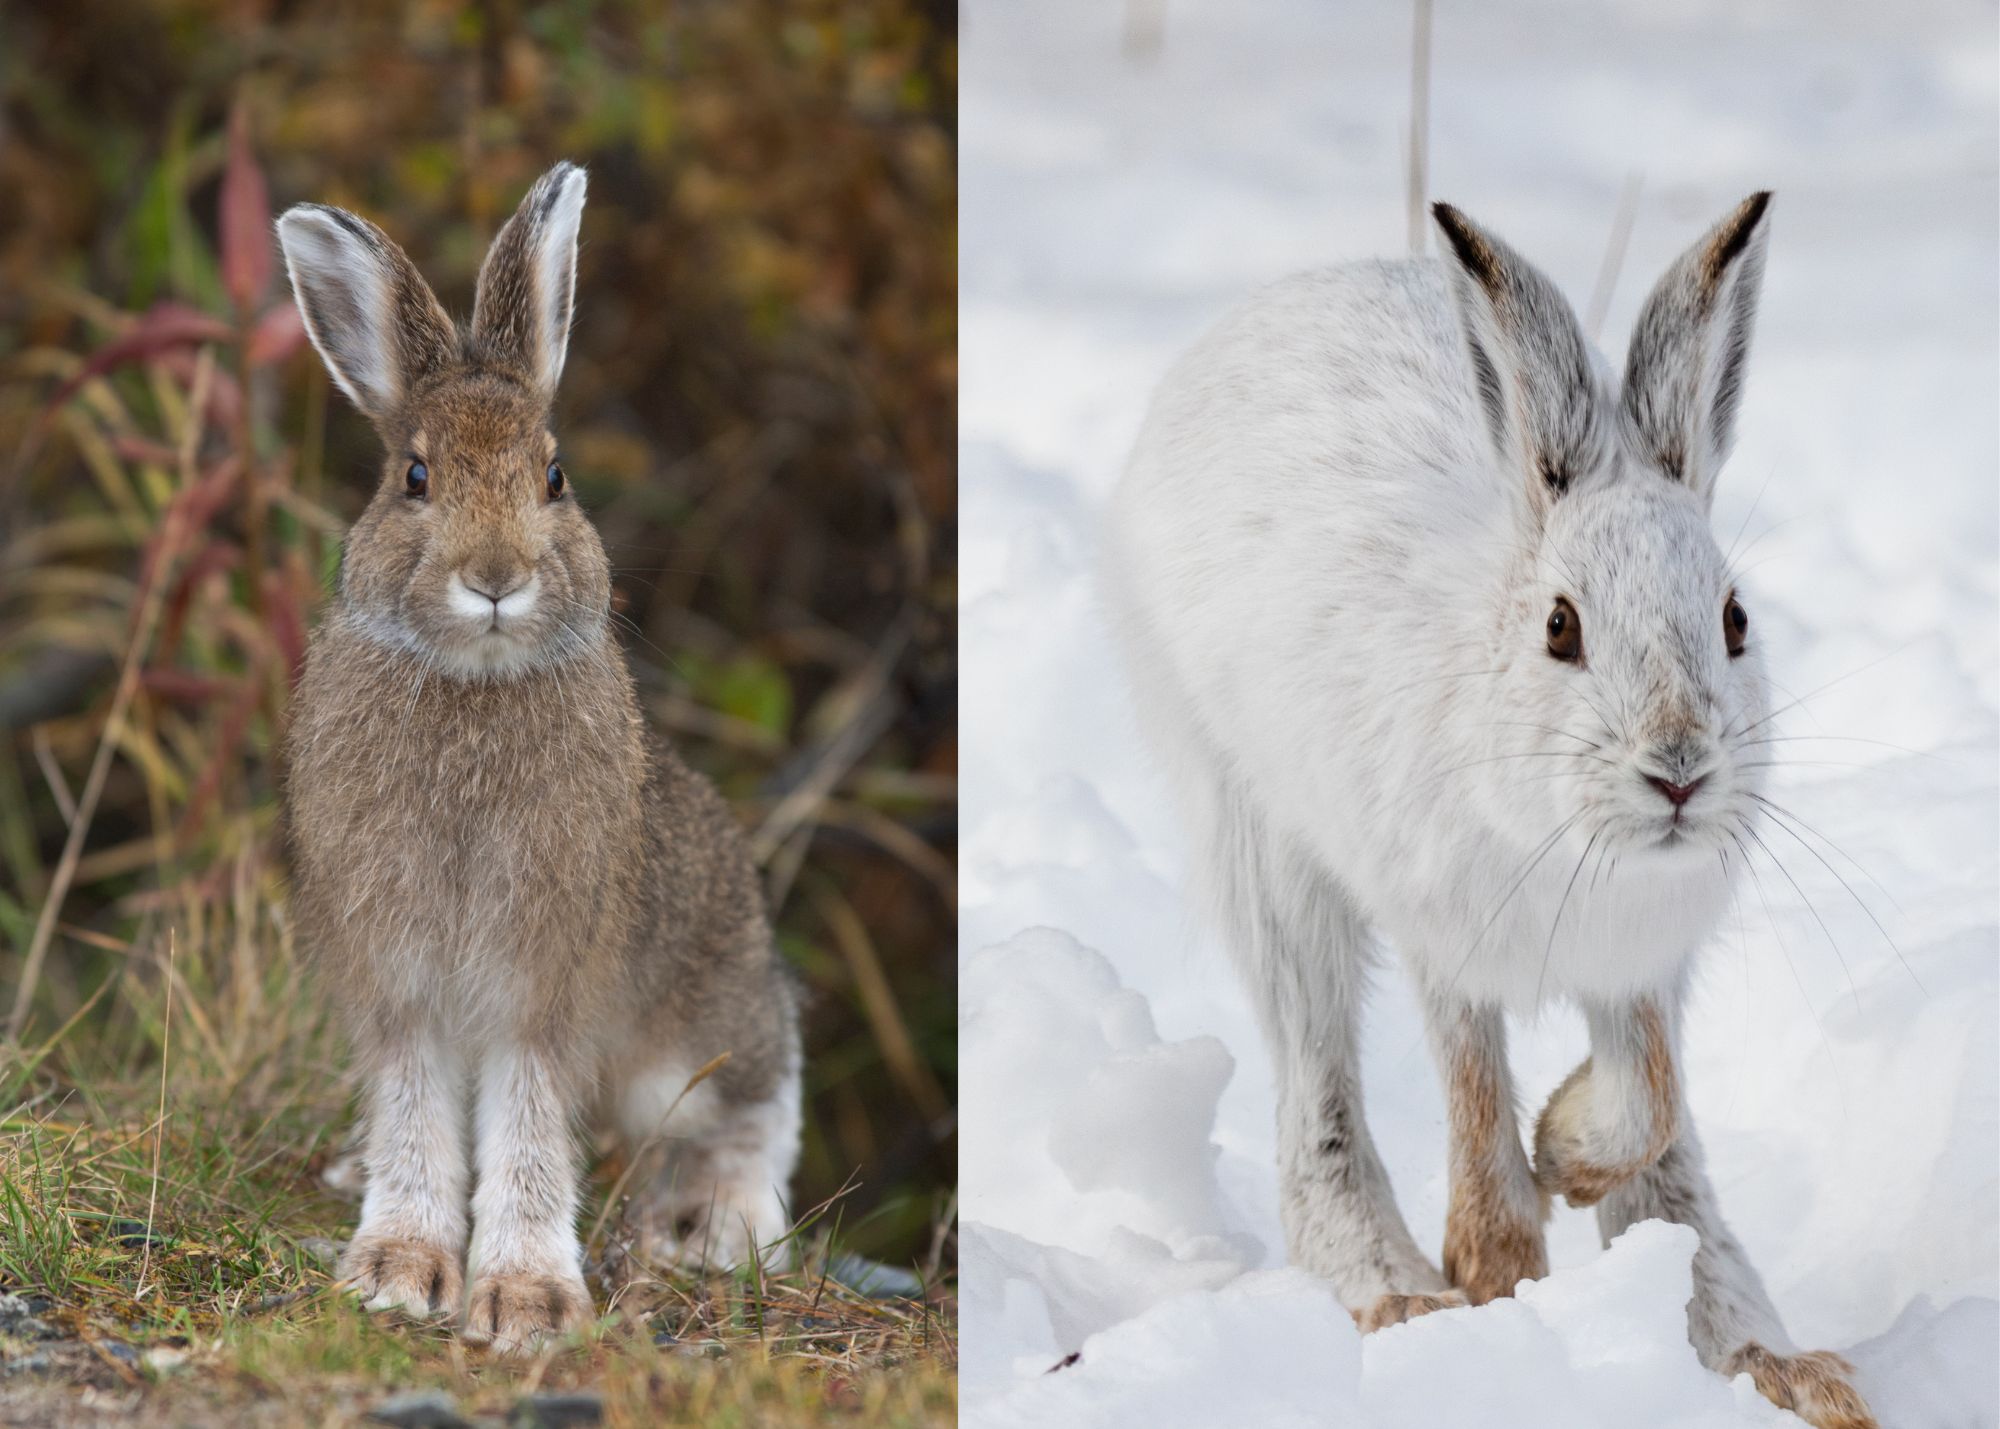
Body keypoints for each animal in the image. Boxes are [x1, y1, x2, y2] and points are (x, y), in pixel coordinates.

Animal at [276, 162, 802, 1355]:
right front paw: (396, 1268)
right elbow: (416, 1111)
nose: (496, 575)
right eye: (415, 476)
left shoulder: (547, 972)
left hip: (695, 1017)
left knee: (755, 1090)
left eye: (553, 475)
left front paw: (524, 1299)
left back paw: (725, 1223)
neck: (472, 685)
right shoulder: (396, 972)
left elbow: (526, 1120)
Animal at [1104, 194, 1878, 1429]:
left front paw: (1563, 1147)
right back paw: (1393, 1291)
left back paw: (1772, 1362)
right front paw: (1499, 1279)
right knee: (1315, 1085)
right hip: (1259, 843)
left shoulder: (1641, 966)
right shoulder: (1446, 940)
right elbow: (1475, 1113)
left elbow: (1652, 1109)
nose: (1677, 771)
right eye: (1560, 627)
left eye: (1735, 619)